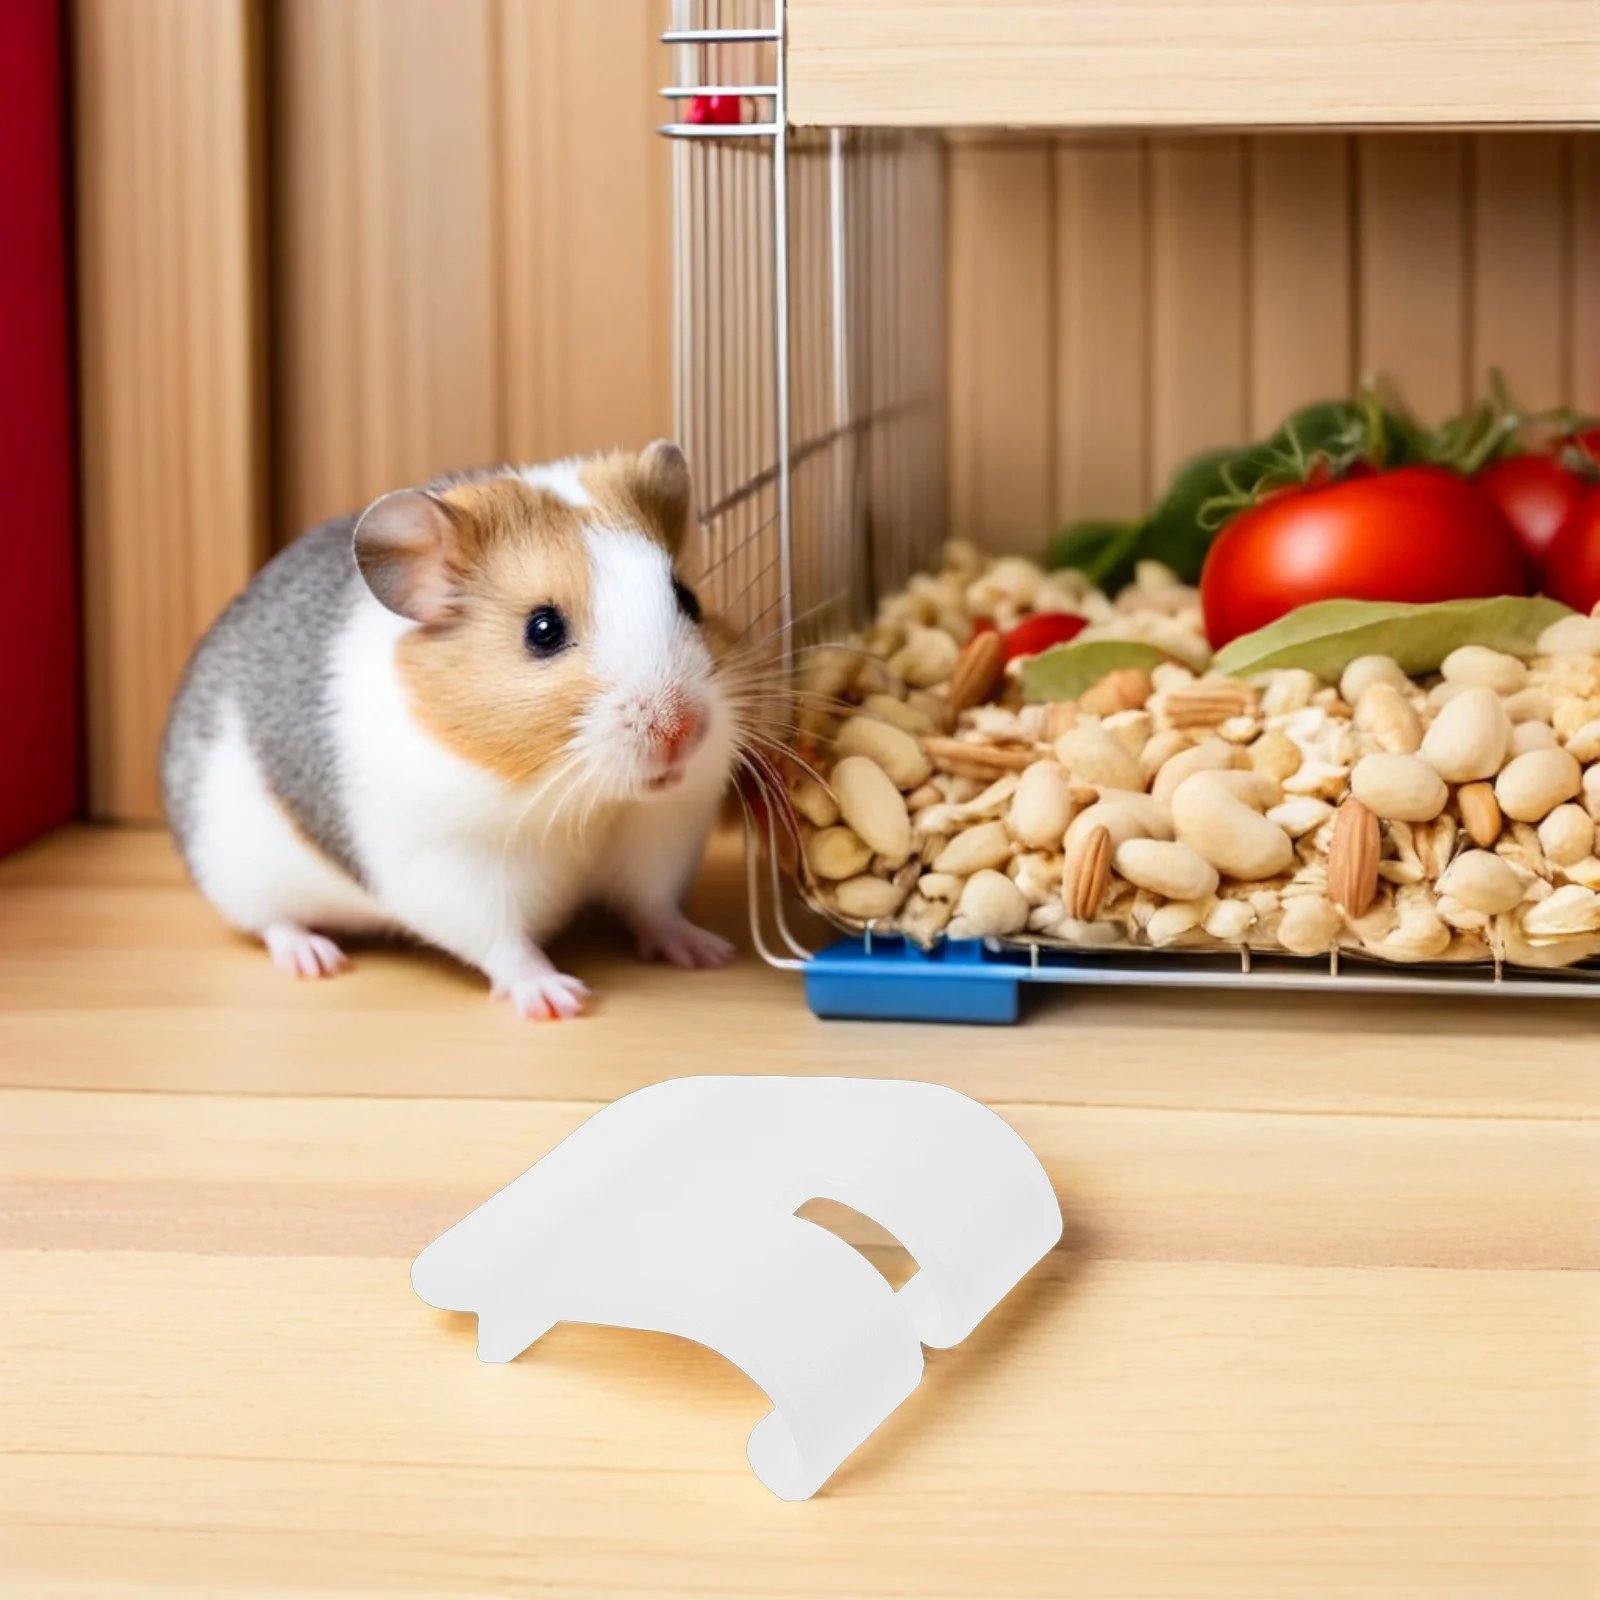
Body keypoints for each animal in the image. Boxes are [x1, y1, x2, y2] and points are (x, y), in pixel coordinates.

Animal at [161, 441, 747, 1019]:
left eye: (688, 600)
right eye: (542, 630)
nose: (682, 731)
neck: (587, 800)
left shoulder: (660, 833)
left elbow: (653, 906)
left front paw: (709, 954)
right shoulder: (451, 867)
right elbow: (504, 944)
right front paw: (559, 1001)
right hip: (239, 873)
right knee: (271, 923)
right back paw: (316, 959)